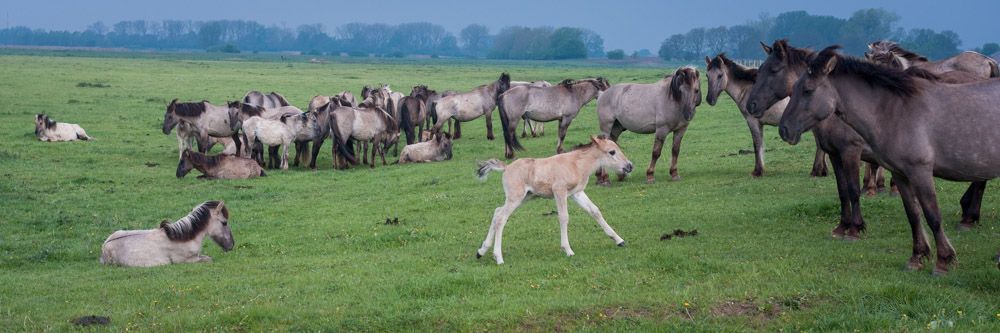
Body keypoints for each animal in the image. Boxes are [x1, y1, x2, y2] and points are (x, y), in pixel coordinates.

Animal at [100, 200, 235, 268]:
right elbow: (209, 259)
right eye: (224, 222)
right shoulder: (189, 260)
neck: (183, 238)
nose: (231, 245)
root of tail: (104, 246)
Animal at [474, 135, 632, 264]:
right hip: (516, 197)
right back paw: (498, 257)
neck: (577, 164)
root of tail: (506, 168)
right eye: (612, 152)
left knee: (497, 212)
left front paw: (619, 240)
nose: (629, 166)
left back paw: (481, 251)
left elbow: (595, 211)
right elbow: (563, 217)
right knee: (501, 217)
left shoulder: (577, 193)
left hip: (525, 197)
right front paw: (568, 250)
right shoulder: (559, 191)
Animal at [780, 46, 1000, 274]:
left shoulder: (920, 172)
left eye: (807, 90)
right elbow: (913, 214)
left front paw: (944, 260)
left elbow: (932, 215)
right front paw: (917, 257)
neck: (896, 111)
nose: (784, 129)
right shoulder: (901, 174)